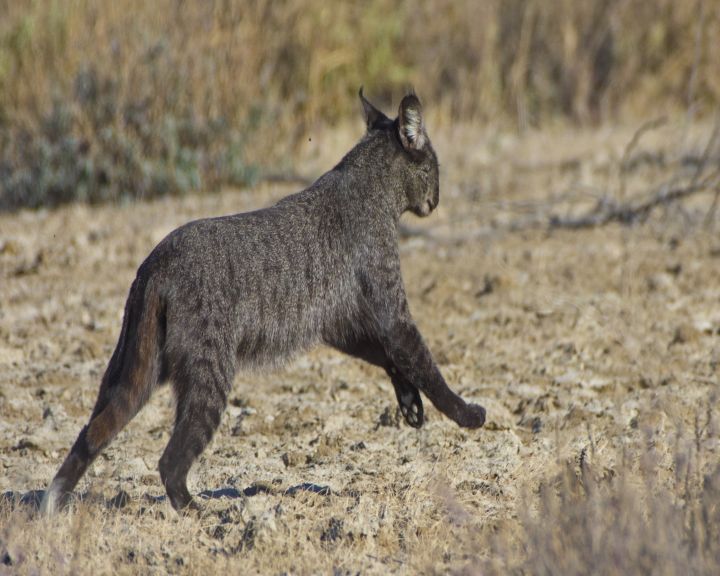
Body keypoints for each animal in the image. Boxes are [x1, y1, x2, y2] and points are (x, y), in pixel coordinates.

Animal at [40, 90, 490, 512]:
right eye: (434, 169)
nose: (436, 200)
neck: (370, 186)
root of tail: (153, 262)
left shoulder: (337, 323)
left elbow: (390, 357)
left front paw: (411, 404)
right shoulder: (390, 311)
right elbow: (424, 362)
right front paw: (467, 413)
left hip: (132, 370)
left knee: (92, 431)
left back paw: (53, 504)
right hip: (211, 372)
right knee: (169, 459)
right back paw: (199, 511)